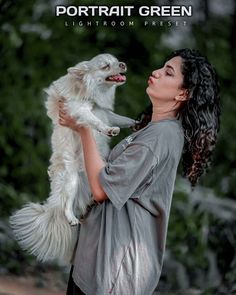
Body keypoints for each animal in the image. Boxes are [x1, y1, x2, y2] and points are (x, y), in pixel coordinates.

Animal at [9, 53, 135, 264]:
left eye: (117, 61)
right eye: (106, 66)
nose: (123, 64)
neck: (93, 94)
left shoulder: (108, 113)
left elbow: (122, 118)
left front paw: (137, 122)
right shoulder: (80, 110)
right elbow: (95, 121)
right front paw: (107, 130)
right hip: (71, 180)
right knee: (66, 205)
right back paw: (71, 218)